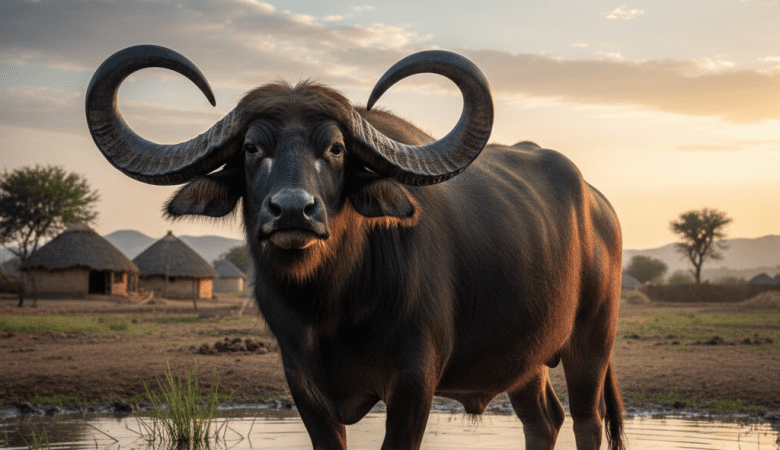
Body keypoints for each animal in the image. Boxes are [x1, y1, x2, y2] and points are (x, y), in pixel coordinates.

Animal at [86, 45, 625, 450]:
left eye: (336, 148)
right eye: (252, 148)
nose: (292, 211)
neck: (332, 306)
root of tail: (599, 206)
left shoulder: (414, 383)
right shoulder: (305, 387)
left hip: (592, 342)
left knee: (587, 421)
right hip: (526, 361)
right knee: (544, 420)